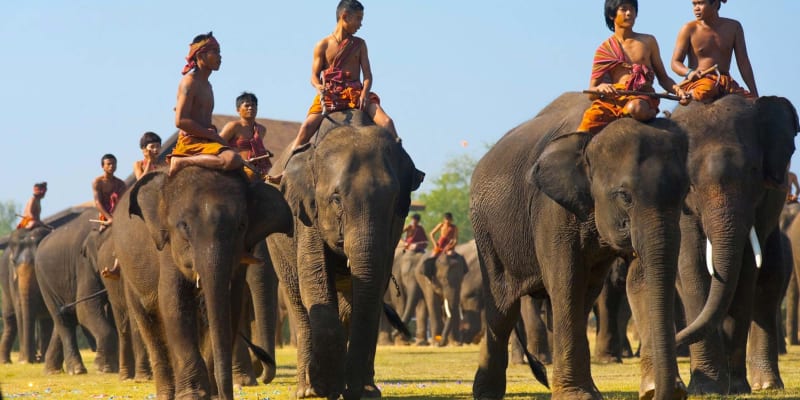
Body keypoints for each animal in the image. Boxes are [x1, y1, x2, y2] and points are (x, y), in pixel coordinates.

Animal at [35, 208, 118, 375]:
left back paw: (51, 371)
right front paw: (104, 368)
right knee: (64, 321)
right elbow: (85, 309)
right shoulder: (84, 264)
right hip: (43, 280)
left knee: (64, 317)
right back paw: (76, 370)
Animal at [113, 167, 292, 400]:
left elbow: (229, 308)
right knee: (148, 322)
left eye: (241, 225)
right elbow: (174, 305)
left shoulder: (239, 259)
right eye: (184, 226)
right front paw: (192, 395)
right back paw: (166, 394)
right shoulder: (168, 250)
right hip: (129, 274)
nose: (225, 395)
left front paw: (210, 394)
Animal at [267, 109, 422, 399]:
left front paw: (362, 391)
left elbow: (370, 292)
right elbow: (314, 281)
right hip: (277, 245)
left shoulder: (393, 229)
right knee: (297, 300)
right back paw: (306, 390)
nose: (352, 389)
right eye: (336, 199)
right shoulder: (306, 213)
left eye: (394, 201)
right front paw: (325, 386)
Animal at [470, 92, 690, 400]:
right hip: (487, 233)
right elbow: (567, 279)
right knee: (502, 308)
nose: (665, 393)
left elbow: (640, 280)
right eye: (624, 196)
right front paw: (577, 396)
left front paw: (653, 389)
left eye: (685, 193)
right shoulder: (551, 209)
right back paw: (486, 393)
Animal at [637, 95, 799, 395]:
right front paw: (706, 388)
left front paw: (736, 388)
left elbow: (746, 270)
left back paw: (766, 385)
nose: (675, 339)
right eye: (690, 182)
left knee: (770, 281)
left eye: (754, 171)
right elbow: (691, 264)